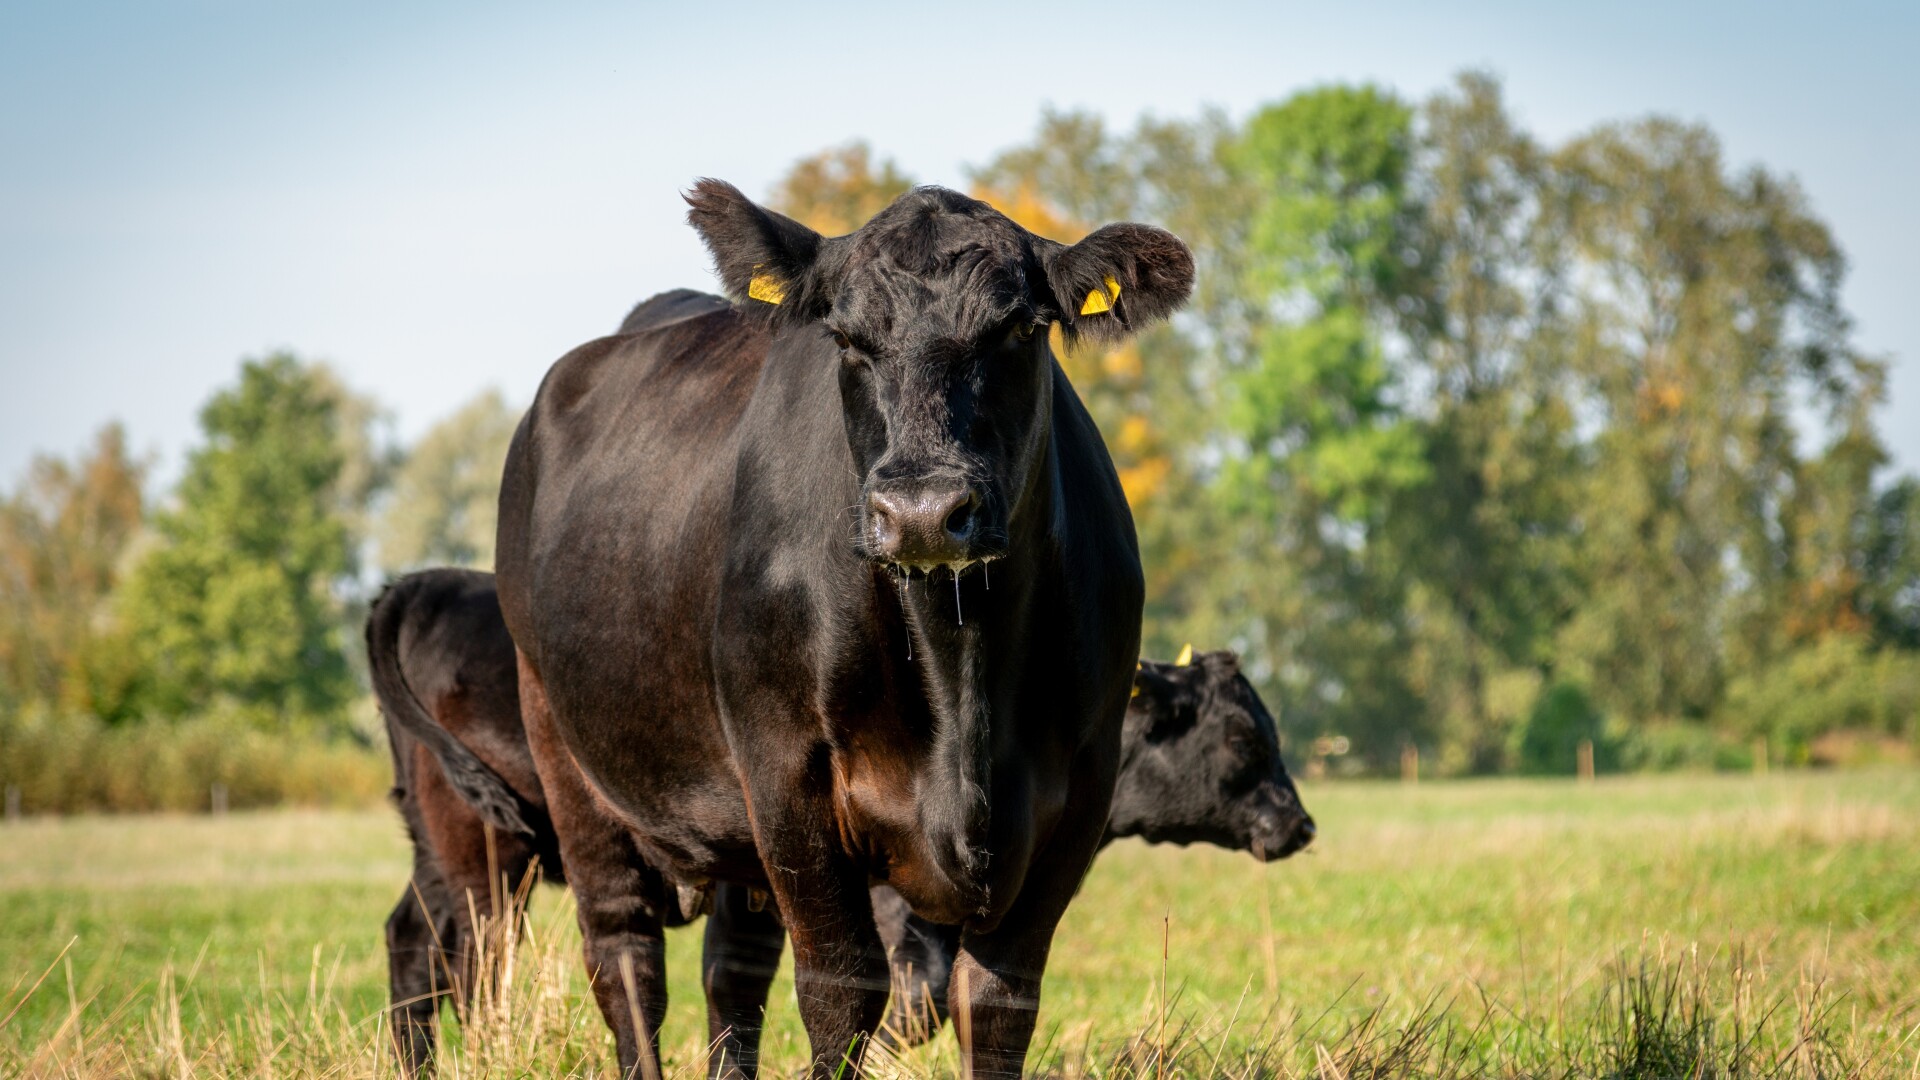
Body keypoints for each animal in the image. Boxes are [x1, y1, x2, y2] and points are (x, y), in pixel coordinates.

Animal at [368, 569, 1313, 1073]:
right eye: (1240, 738)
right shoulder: (892, 897)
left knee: (413, 941)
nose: (1299, 826)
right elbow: (912, 998)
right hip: (487, 847)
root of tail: (434, 584)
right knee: (476, 962)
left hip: (439, 846)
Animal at [493, 183, 1194, 1080]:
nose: (923, 511)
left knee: (732, 967)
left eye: (1017, 329)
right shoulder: (786, 771)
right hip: (561, 739)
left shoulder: (1080, 784)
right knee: (623, 954)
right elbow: (841, 989)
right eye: (847, 339)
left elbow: (997, 1001)